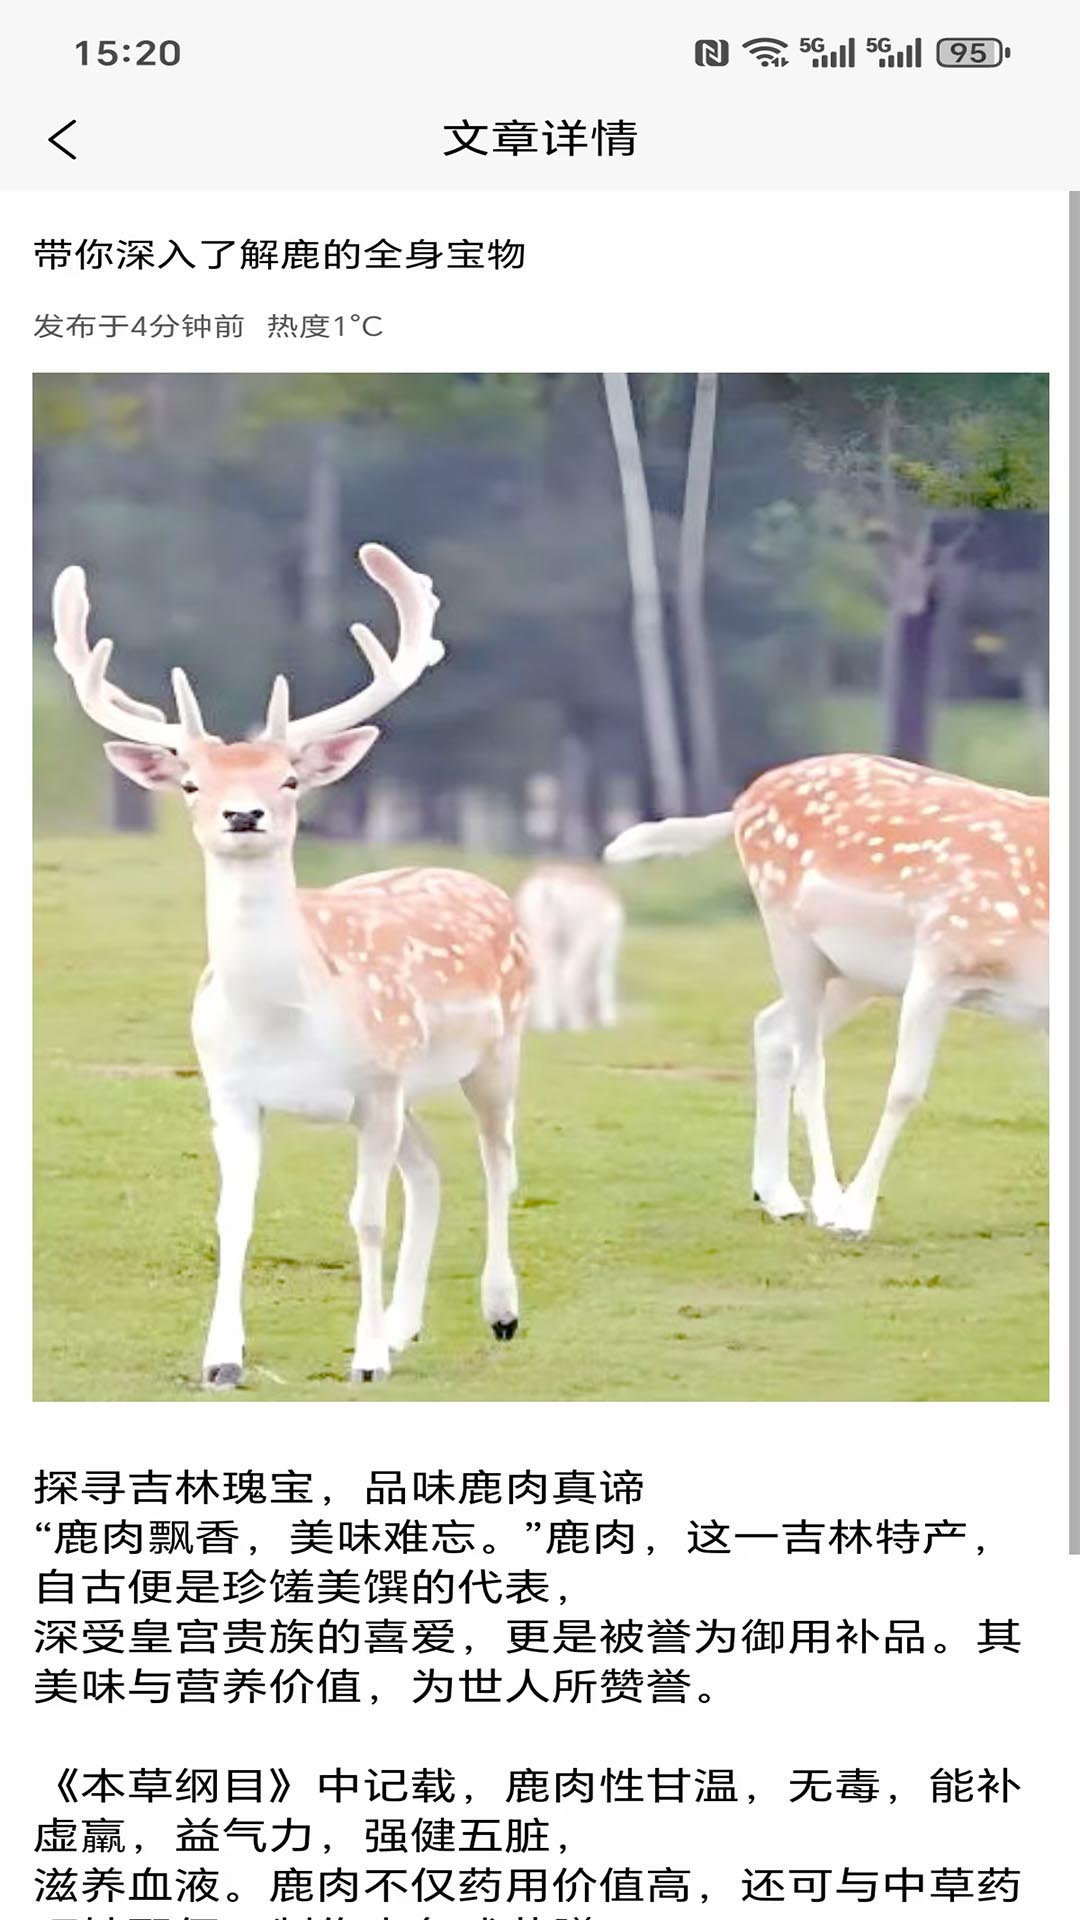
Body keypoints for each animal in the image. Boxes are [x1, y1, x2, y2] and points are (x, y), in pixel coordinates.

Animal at [52, 543, 533, 1386]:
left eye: (288, 777)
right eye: (191, 782)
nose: (243, 814)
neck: (286, 1020)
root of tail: (484, 885)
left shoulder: (376, 1084)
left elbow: (365, 1216)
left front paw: (364, 1361)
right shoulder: (233, 1093)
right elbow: (233, 1215)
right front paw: (221, 1360)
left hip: (497, 1048)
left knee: (498, 1158)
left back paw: (499, 1312)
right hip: (406, 1094)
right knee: (431, 1167)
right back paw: (405, 1326)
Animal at [515, 865, 625, 1031]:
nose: (592, 1016)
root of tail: (550, 885)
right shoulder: (607, 945)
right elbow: (605, 977)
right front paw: (608, 1021)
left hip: (538, 934)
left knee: (541, 974)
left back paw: (547, 1024)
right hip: (584, 938)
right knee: (570, 974)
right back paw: (578, 1025)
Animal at [605, 752, 1048, 1236]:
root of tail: (744, 800)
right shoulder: (939, 961)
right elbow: (904, 1090)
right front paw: (855, 1214)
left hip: (856, 972)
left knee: (772, 1029)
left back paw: (777, 1194)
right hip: (789, 933)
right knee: (810, 1065)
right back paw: (826, 1200)